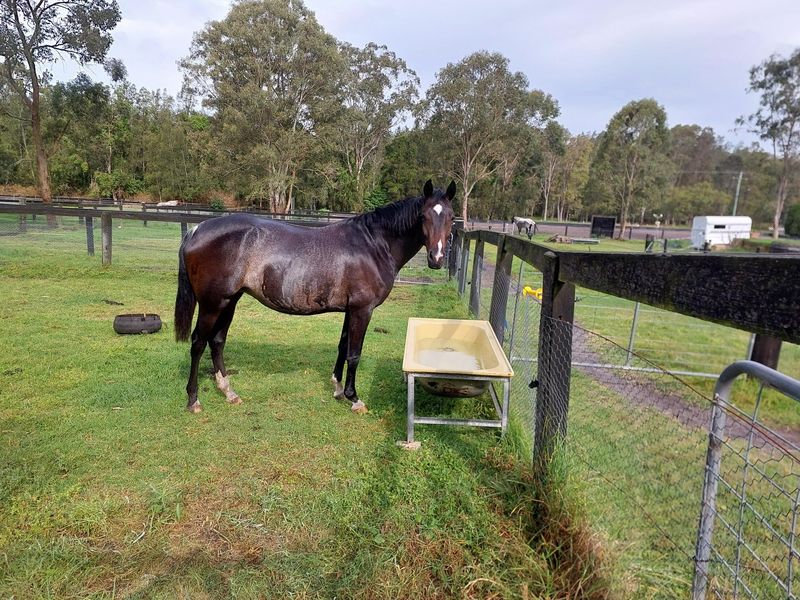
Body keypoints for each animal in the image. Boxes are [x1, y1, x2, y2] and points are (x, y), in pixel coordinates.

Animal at [174, 180, 456, 414]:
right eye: (423, 216)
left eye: (451, 217)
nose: (437, 258)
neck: (373, 245)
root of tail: (197, 229)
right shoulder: (363, 310)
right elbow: (354, 353)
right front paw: (354, 399)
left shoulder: (350, 310)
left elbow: (343, 346)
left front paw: (338, 389)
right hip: (212, 304)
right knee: (198, 343)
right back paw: (193, 400)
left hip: (229, 301)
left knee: (217, 341)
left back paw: (229, 392)